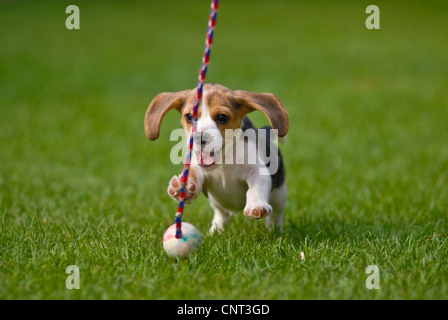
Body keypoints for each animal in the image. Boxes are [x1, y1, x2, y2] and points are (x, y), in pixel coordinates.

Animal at [145, 82, 288, 232]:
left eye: (221, 117)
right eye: (189, 116)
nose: (199, 138)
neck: (223, 162)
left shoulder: (257, 170)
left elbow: (256, 187)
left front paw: (256, 205)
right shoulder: (197, 166)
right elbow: (192, 174)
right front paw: (182, 188)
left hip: (280, 194)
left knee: (277, 213)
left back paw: (273, 229)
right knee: (221, 215)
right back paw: (216, 231)